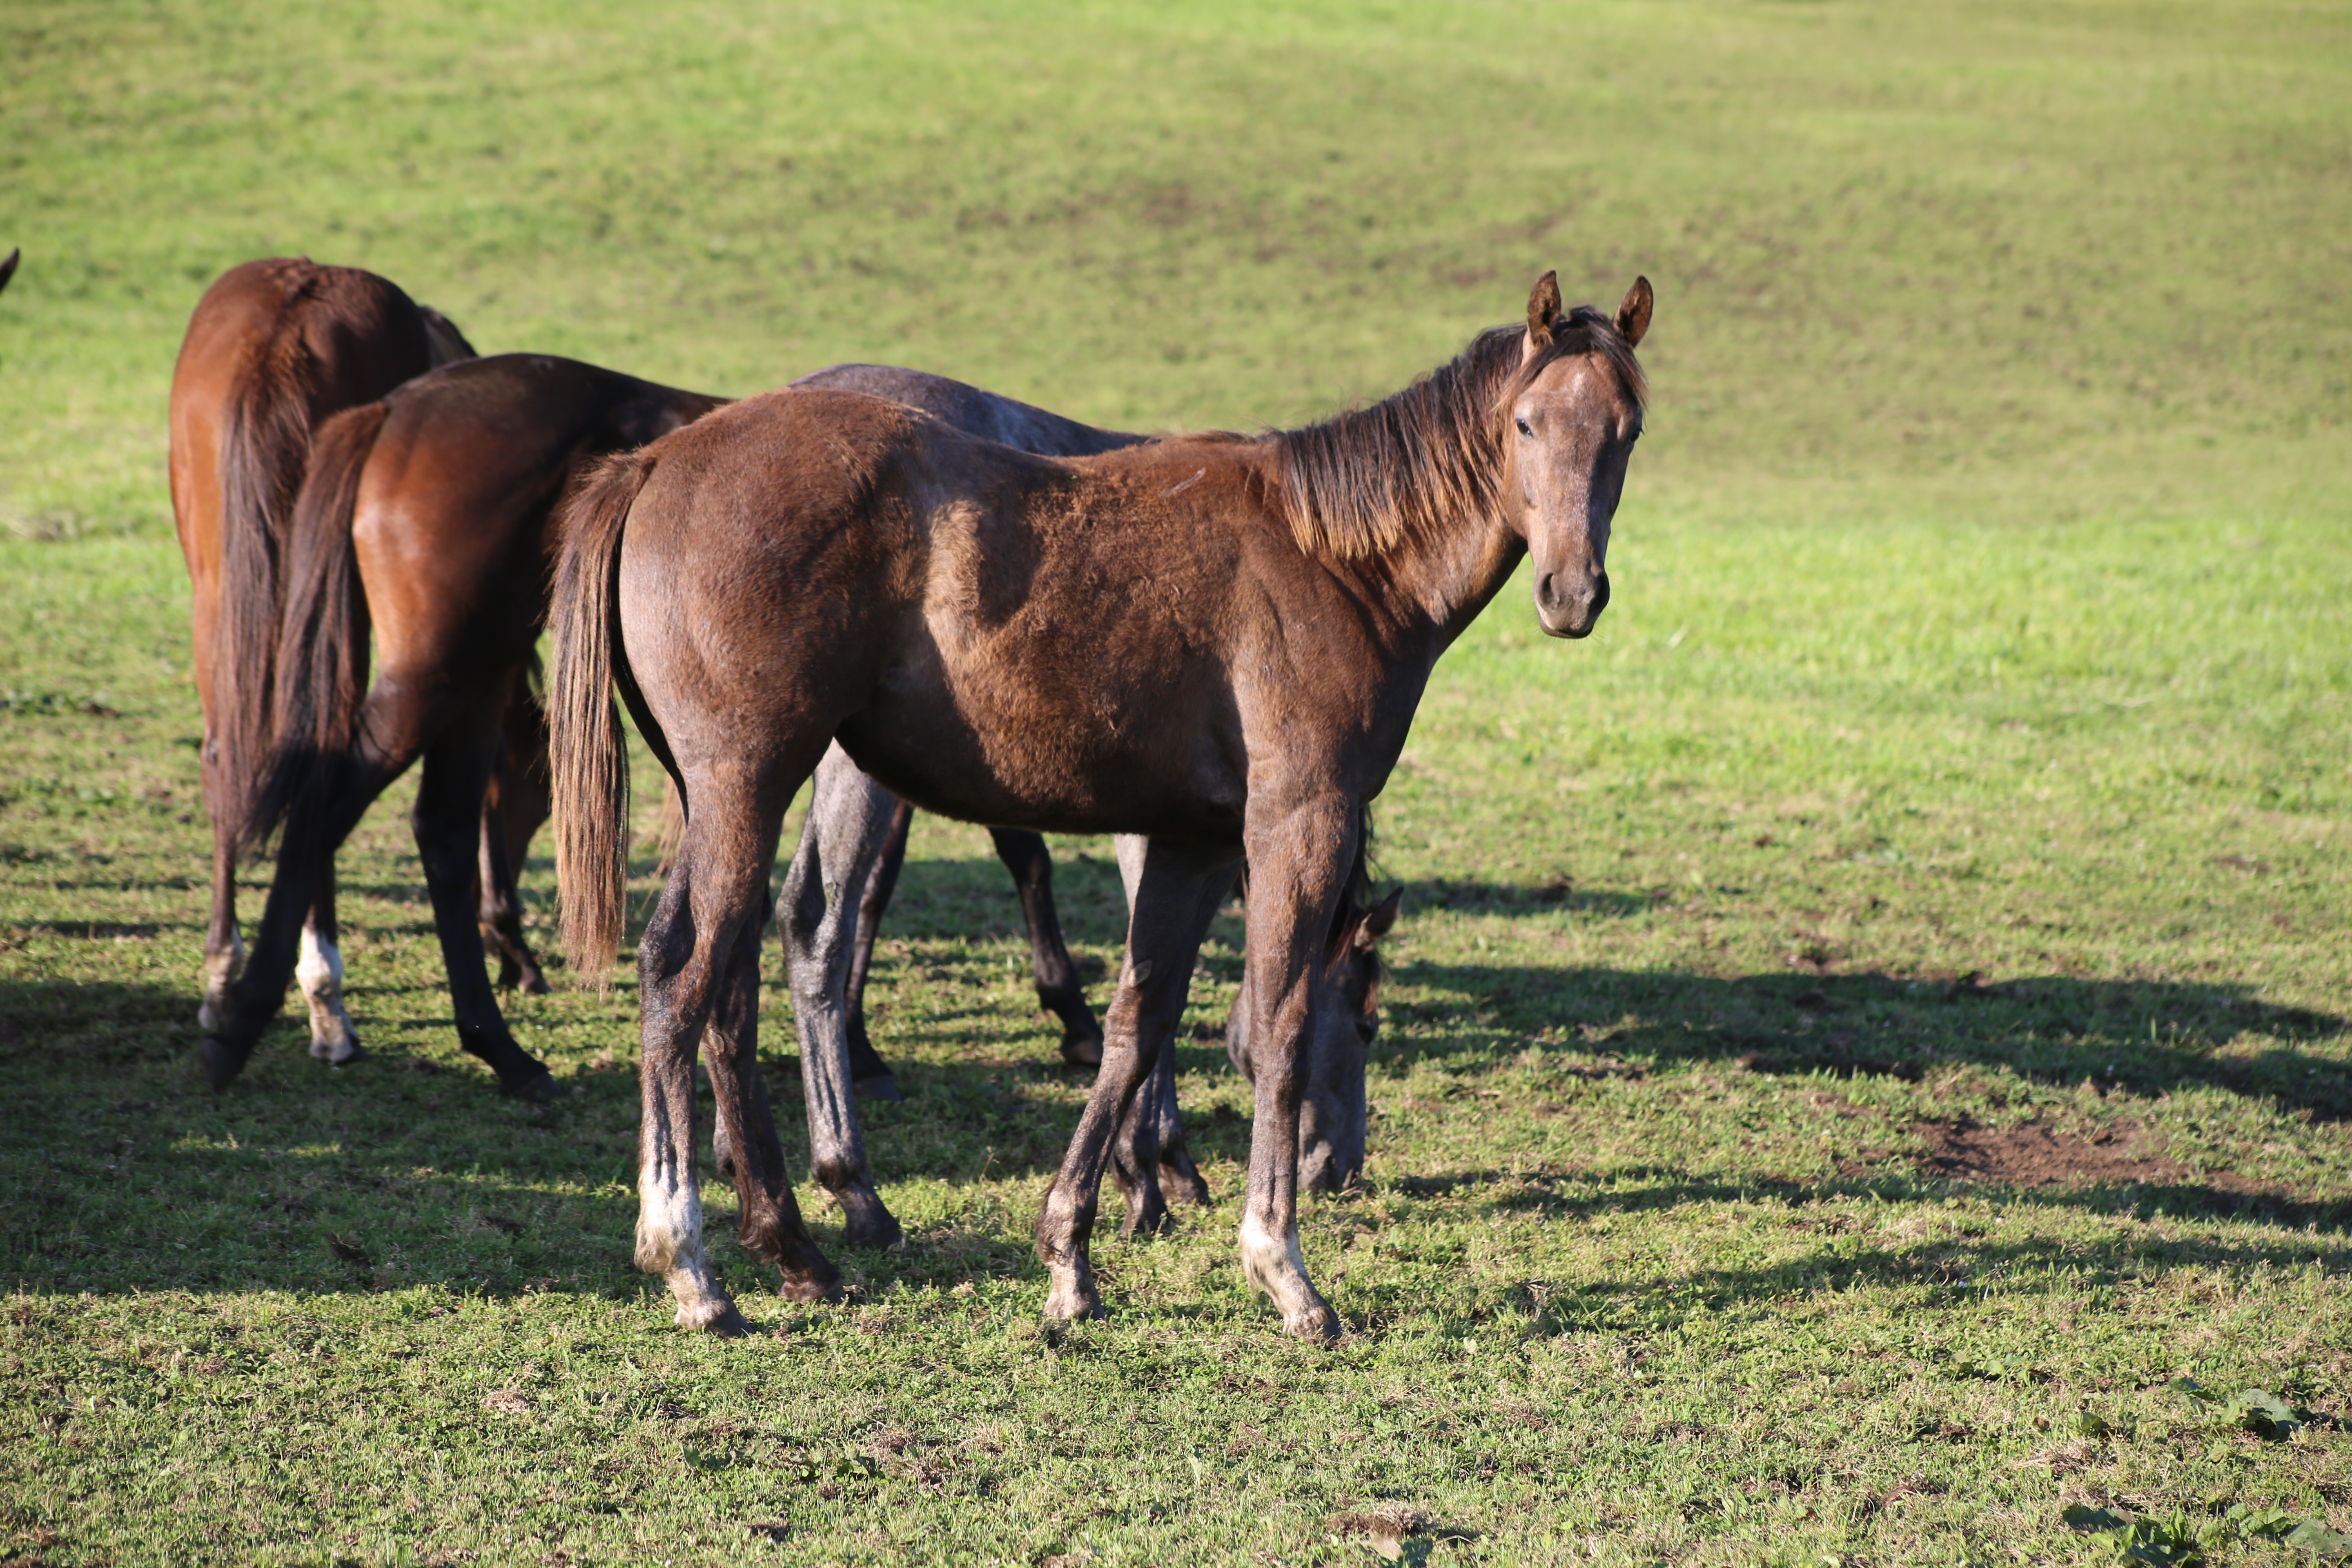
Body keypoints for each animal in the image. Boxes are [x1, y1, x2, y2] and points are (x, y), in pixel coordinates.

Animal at [550, 270, 1656, 1335]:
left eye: (1627, 431)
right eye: (1526, 424)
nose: (1571, 594)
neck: (1336, 563)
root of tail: (658, 461)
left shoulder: (1190, 842)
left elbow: (1138, 1021)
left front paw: (1072, 1256)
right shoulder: (1298, 825)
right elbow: (1280, 1026)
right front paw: (1281, 1269)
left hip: (727, 797)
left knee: (724, 986)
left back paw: (795, 1248)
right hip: (750, 785)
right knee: (692, 975)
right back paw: (695, 1262)